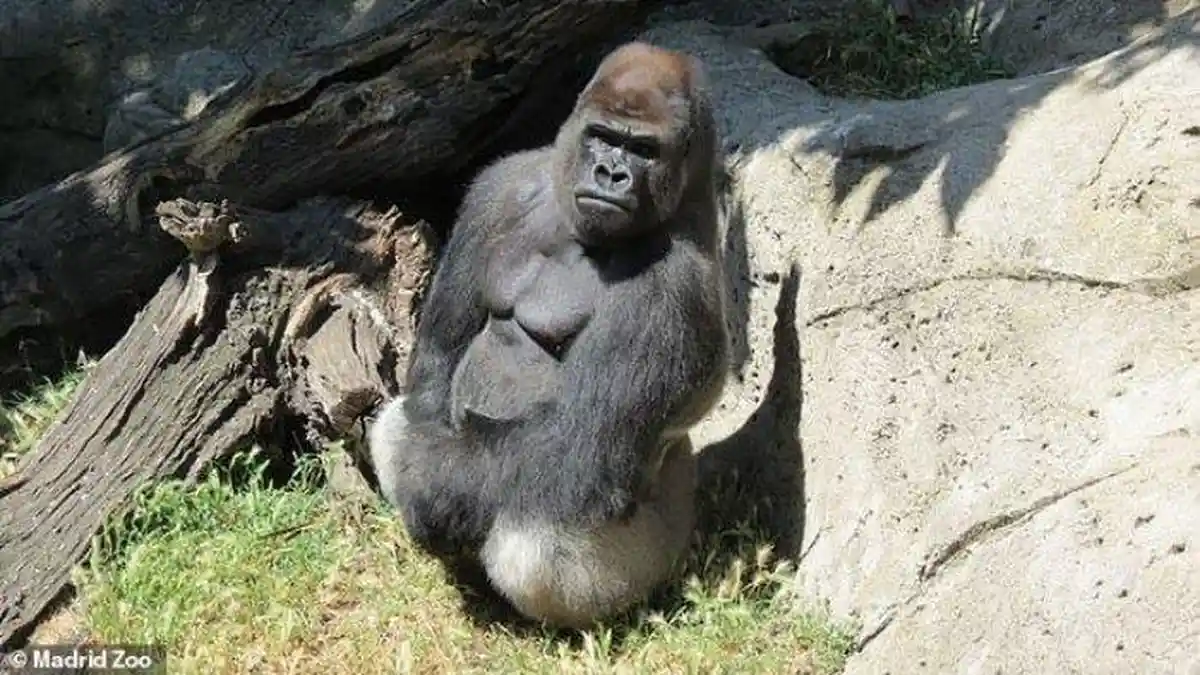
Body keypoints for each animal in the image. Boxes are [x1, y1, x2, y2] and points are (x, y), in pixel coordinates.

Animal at [368, 41, 729, 629]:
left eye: (644, 150)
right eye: (603, 137)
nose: (611, 173)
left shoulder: (670, 288)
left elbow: (576, 442)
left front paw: (432, 489)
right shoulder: (500, 188)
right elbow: (436, 367)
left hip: (658, 553)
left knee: (541, 524)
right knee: (397, 423)